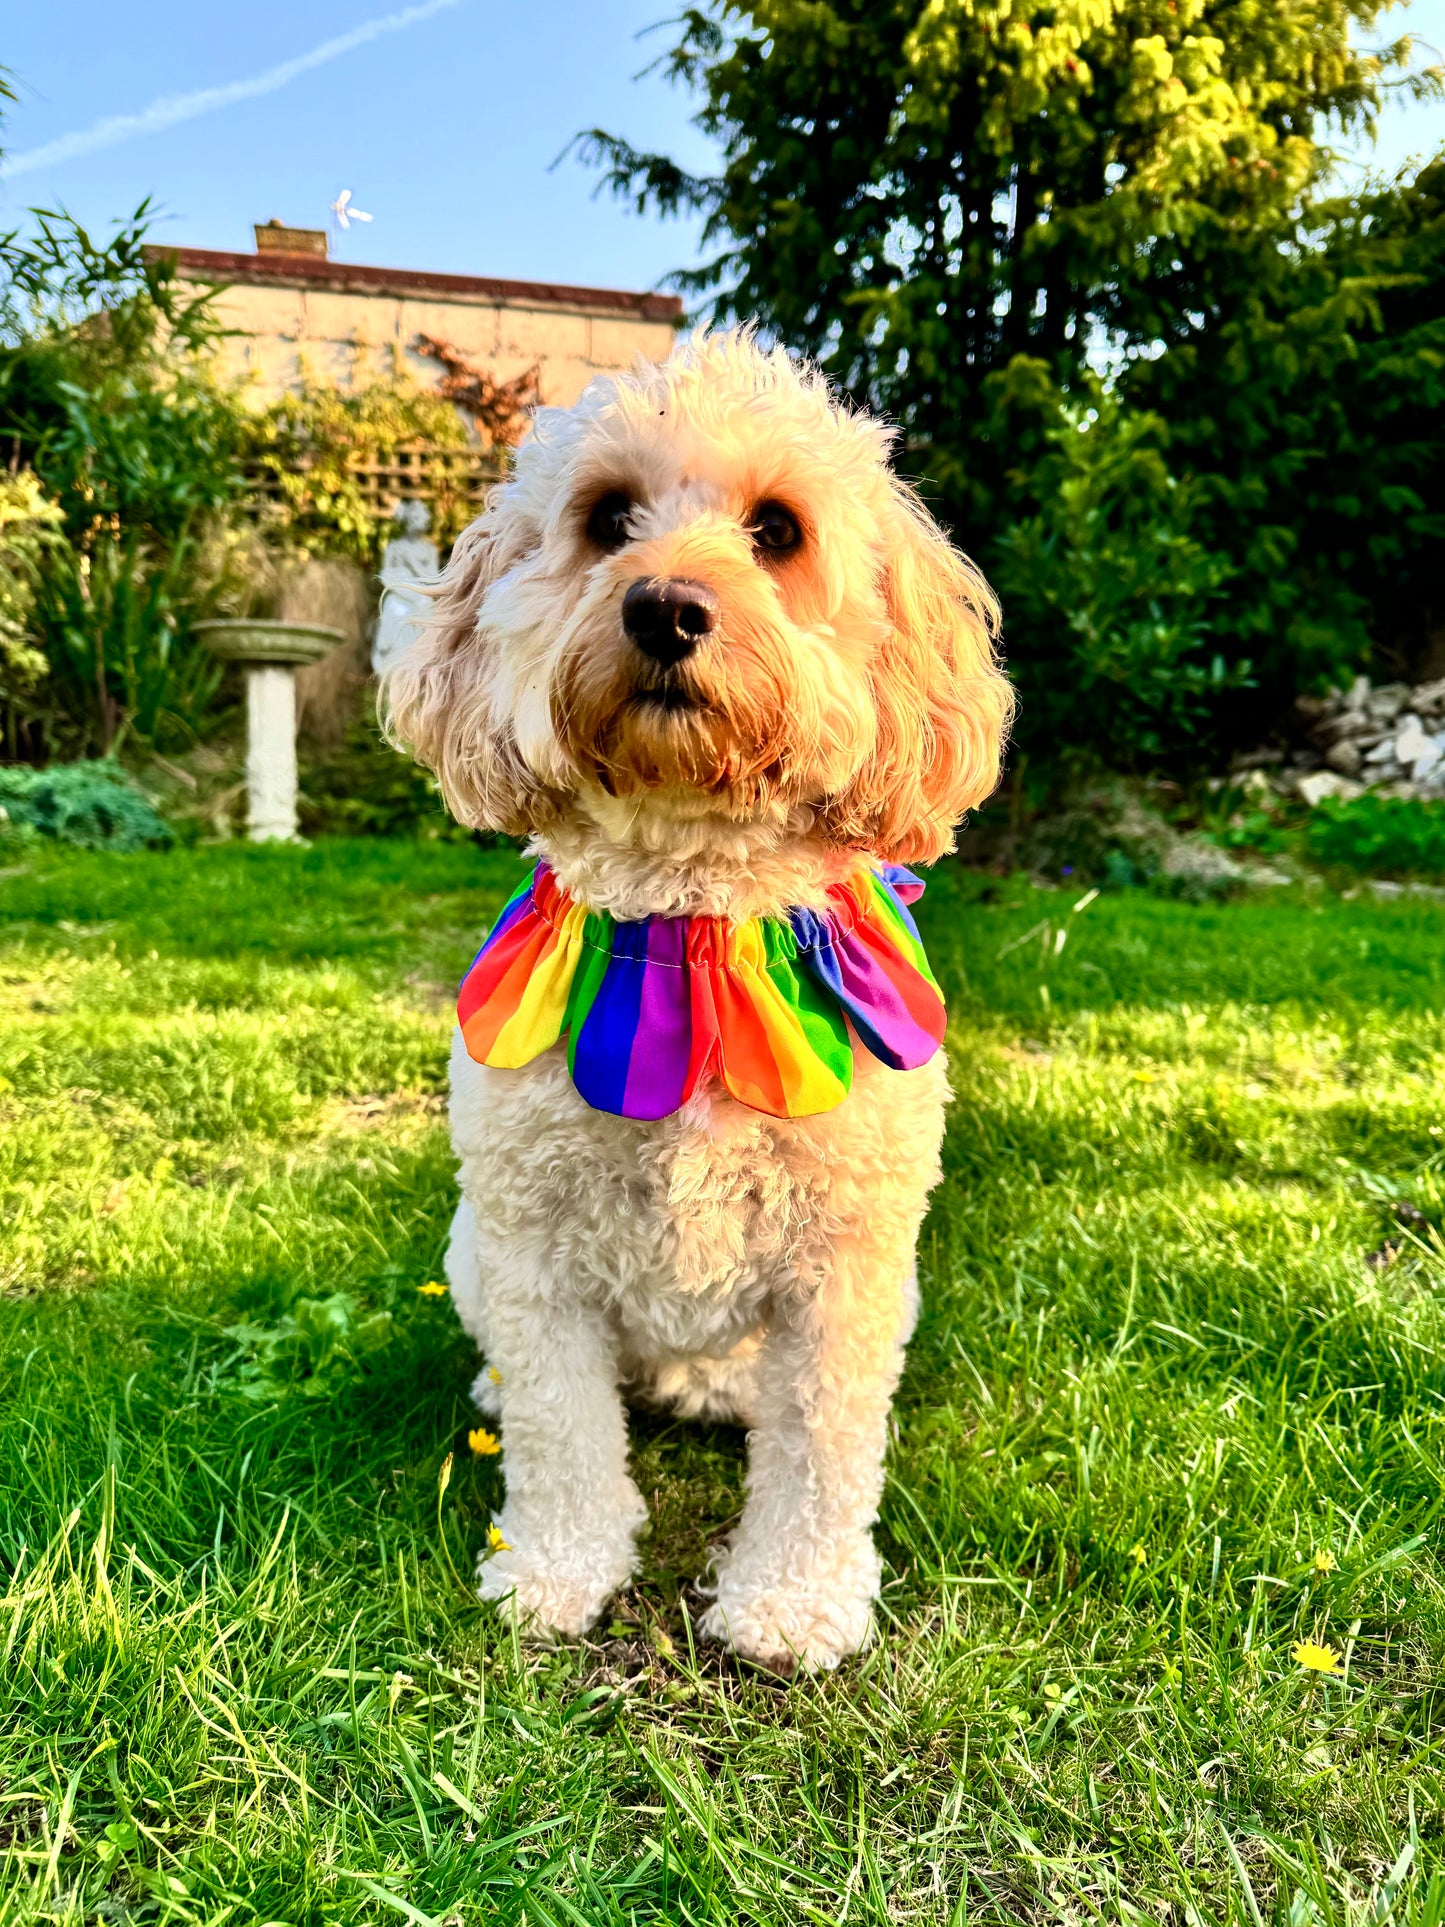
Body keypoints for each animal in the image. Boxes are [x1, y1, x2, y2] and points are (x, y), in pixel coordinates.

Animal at [391, 327, 1009, 1672]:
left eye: (776, 530)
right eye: (607, 518)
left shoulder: (844, 1267)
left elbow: (822, 1447)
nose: (665, 606)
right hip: (469, 1247)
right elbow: (562, 1432)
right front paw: (555, 1572)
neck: (689, 927)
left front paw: (791, 1601)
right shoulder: (531, 1248)